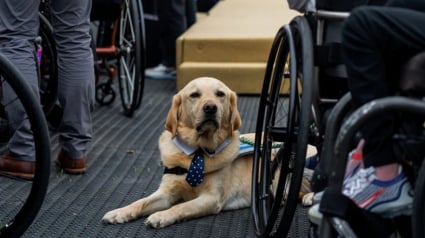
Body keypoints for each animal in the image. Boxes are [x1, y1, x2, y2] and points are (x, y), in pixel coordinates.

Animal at [101, 77, 310, 228]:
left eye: (220, 94)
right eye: (194, 95)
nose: (210, 107)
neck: (197, 152)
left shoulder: (211, 198)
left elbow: (181, 206)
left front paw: (161, 215)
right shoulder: (166, 192)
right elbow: (140, 202)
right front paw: (119, 212)